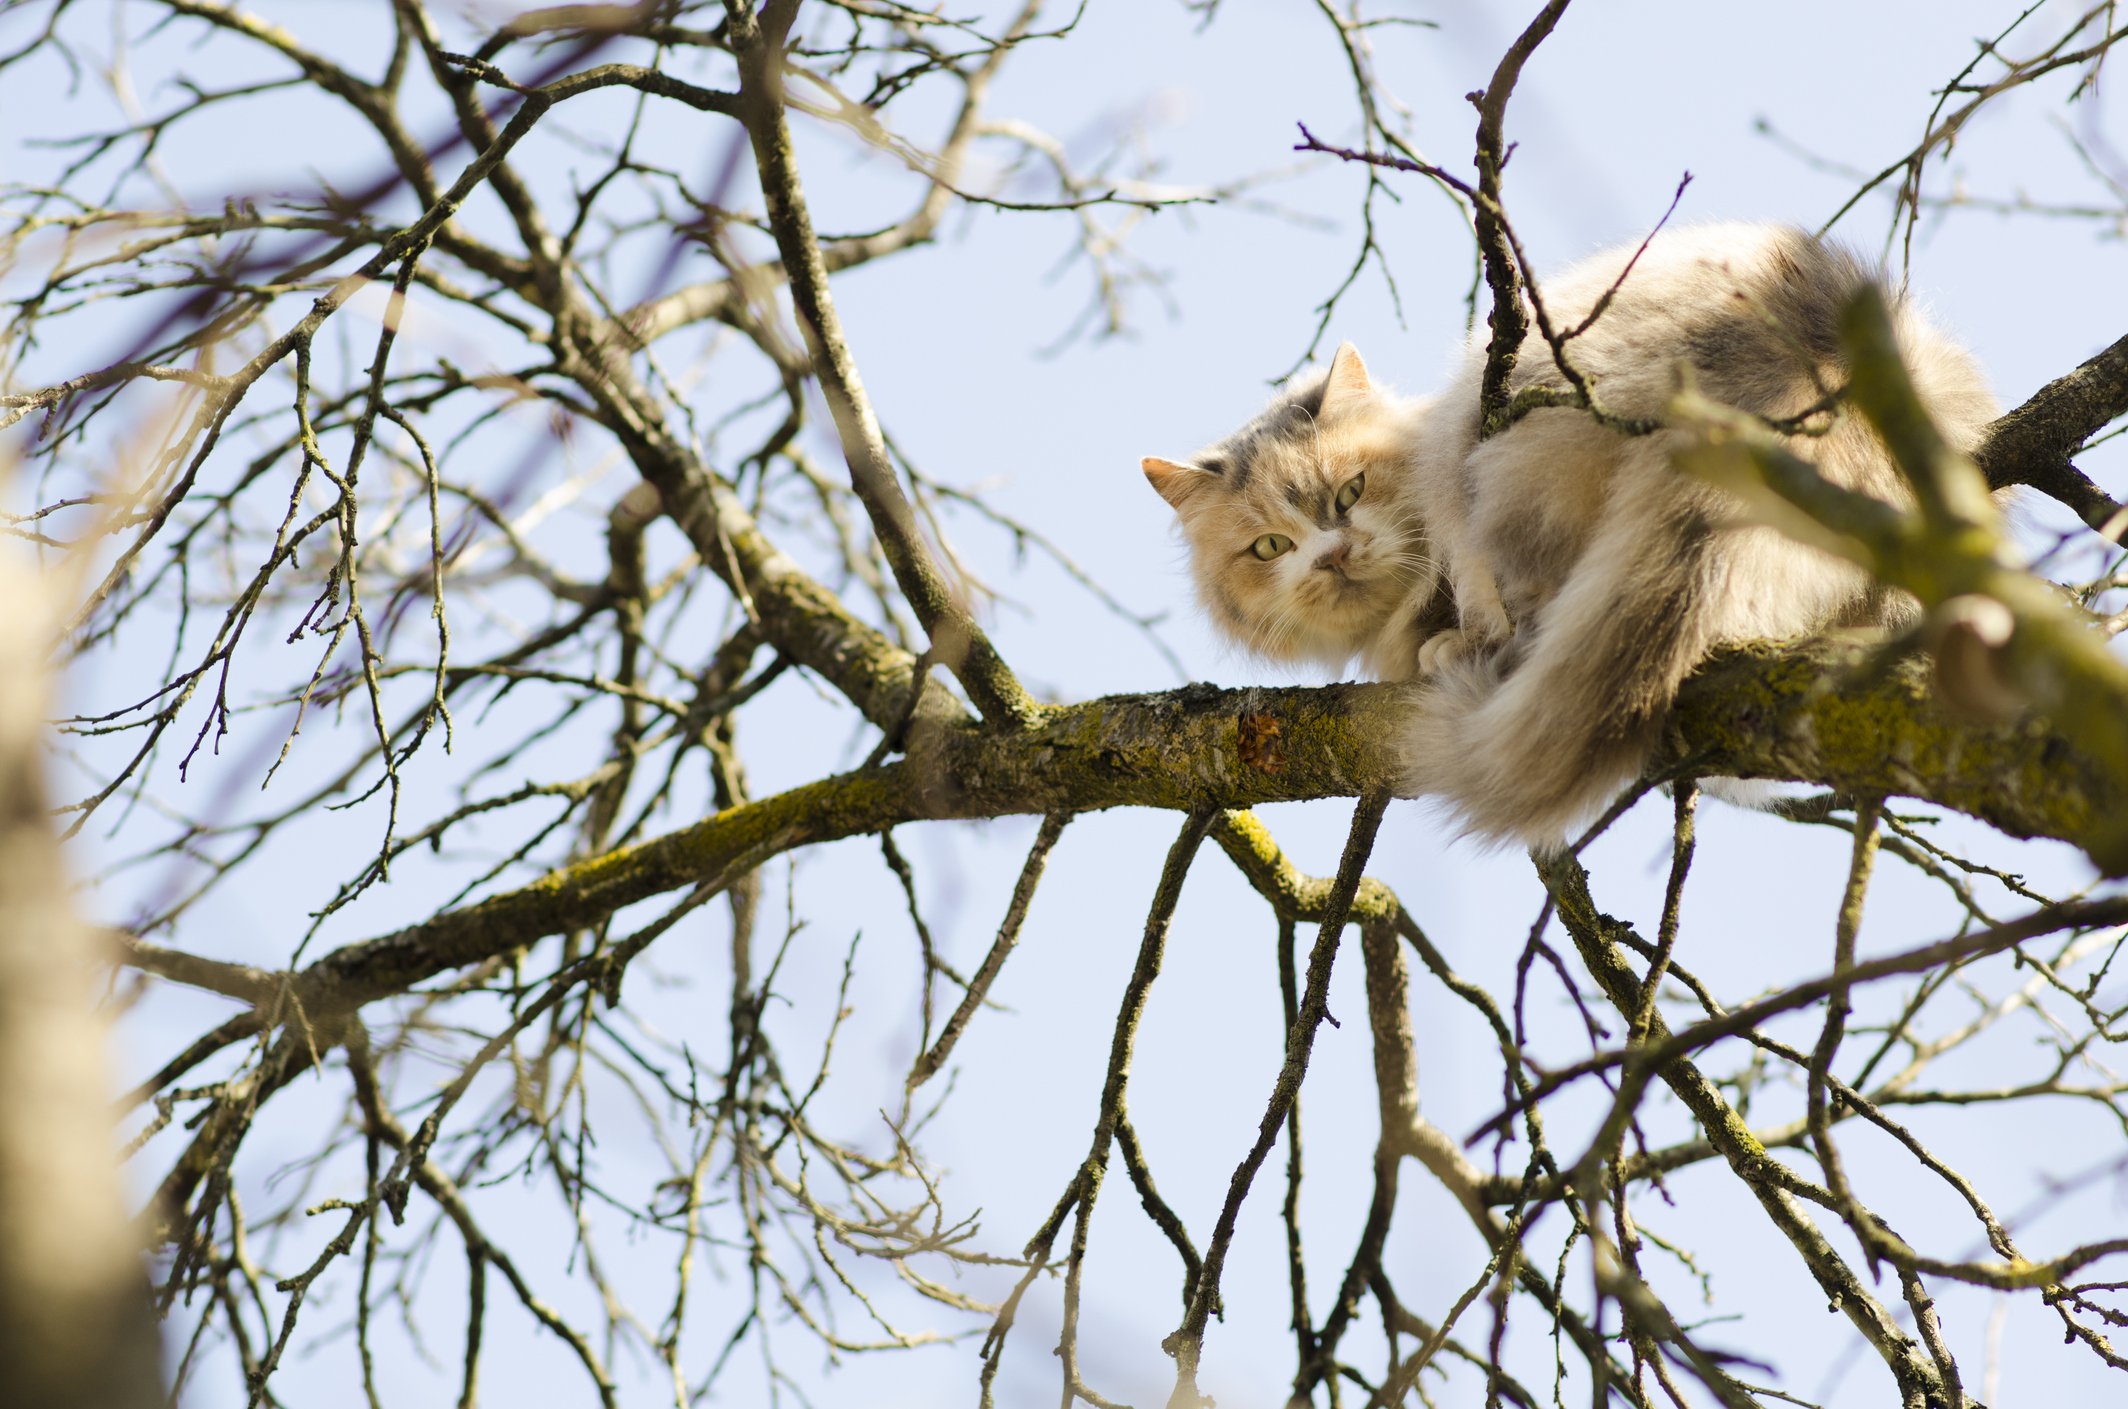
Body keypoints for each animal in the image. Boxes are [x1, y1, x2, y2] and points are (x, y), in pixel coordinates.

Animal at [1149, 221, 1991, 851]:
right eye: (1271, 547)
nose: (1334, 556)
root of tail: (1802, 365)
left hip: (1495, 409)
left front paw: (1444, 639)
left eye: (1349, 493)